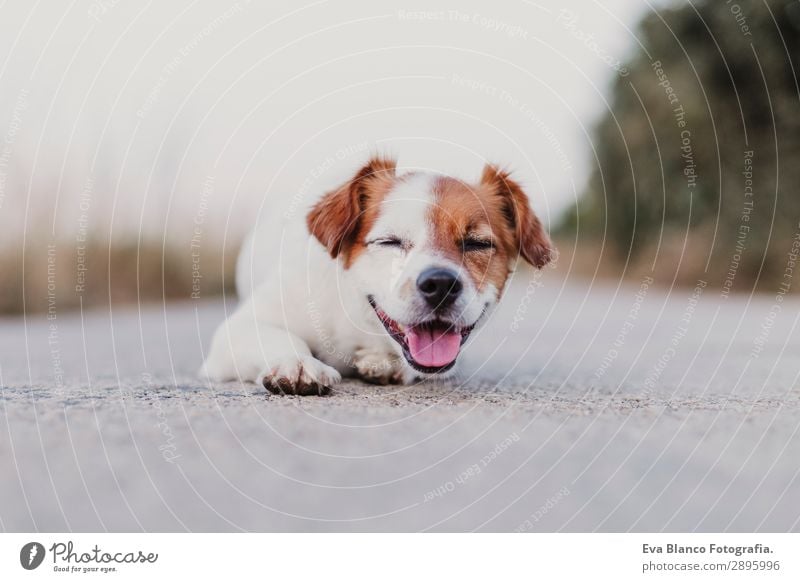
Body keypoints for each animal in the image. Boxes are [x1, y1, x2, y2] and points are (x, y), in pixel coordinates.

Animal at [200, 156, 552, 396]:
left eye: (478, 243)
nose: (440, 284)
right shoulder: (235, 332)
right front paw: (296, 362)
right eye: (389, 241)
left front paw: (383, 362)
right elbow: (273, 335)